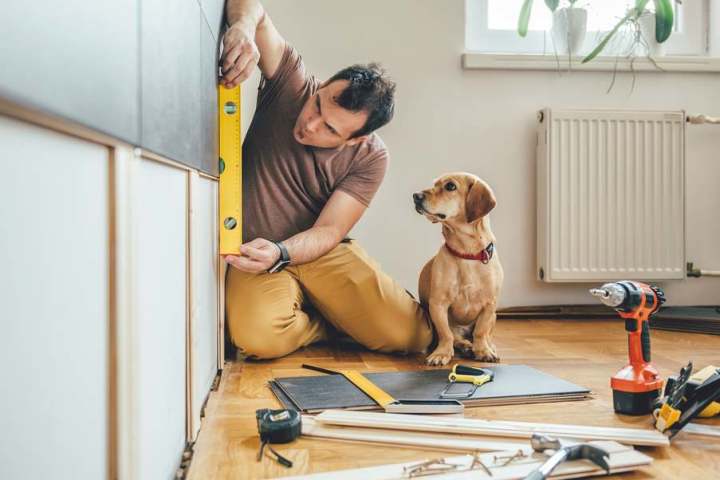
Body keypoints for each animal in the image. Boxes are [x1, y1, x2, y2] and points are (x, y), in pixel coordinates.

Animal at [414, 174, 504, 366]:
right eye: (434, 184)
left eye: (450, 186)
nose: (415, 196)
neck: (467, 253)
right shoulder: (438, 305)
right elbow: (446, 334)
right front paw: (442, 353)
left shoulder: (489, 306)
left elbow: (480, 331)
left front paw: (483, 351)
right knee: (456, 338)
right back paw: (466, 346)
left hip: (494, 316)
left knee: (485, 335)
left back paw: (486, 347)